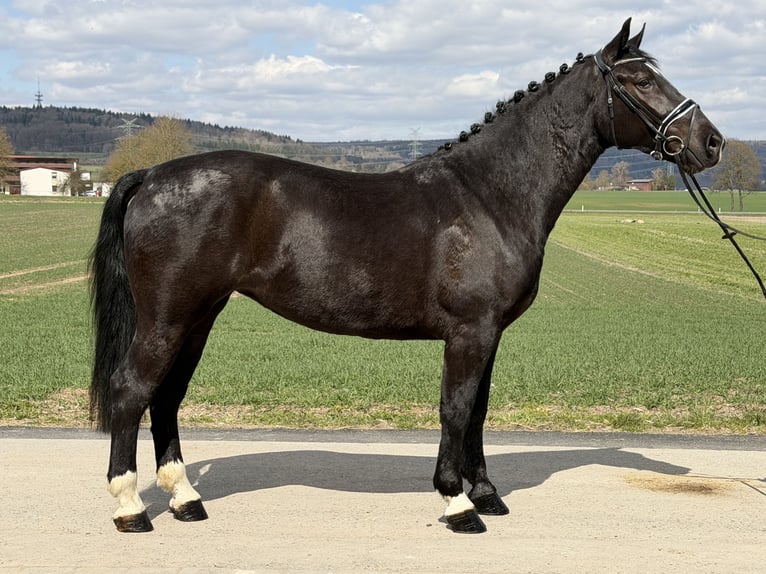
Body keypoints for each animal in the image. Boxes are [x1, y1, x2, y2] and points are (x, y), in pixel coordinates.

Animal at [89, 18, 724, 534]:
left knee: (166, 397)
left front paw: (486, 494)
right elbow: (455, 409)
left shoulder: (489, 334)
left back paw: (185, 499)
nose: (711, 142)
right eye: (640, 81)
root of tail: (151, 175)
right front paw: (458, 504)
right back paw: (130, 508)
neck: (490, 195)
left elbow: (478, 411)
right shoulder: (468, 333)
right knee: (130, 391)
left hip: (198, 316)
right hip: (168, 318)